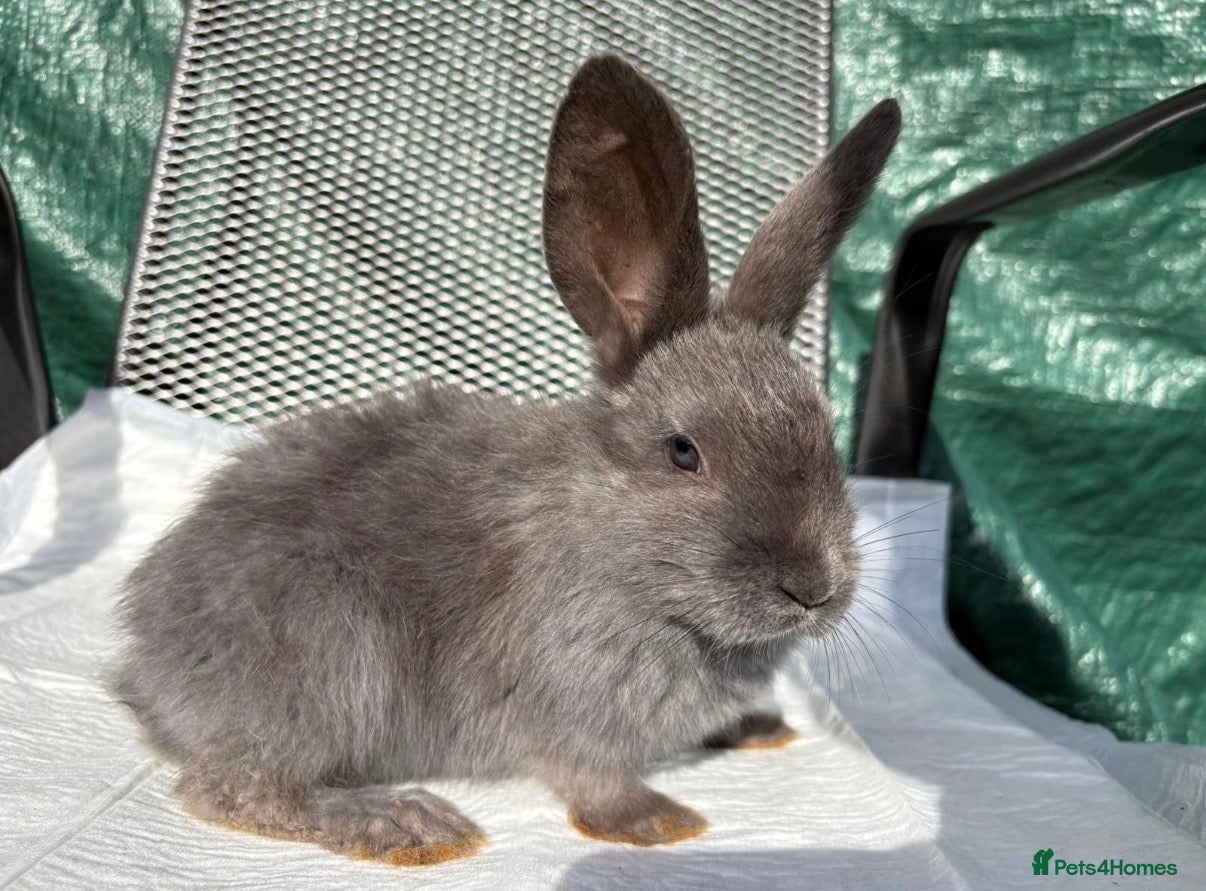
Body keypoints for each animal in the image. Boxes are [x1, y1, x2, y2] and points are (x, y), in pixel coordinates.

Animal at [111, 54, 900, 867]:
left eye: (825, 432)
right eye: (684, 452)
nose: (814, 587)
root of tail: (146, 657)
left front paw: (757, 726)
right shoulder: (571, 708)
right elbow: (591, 776)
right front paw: (656, 821)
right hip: (329, 655)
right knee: (233, 789)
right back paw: (409, 823)